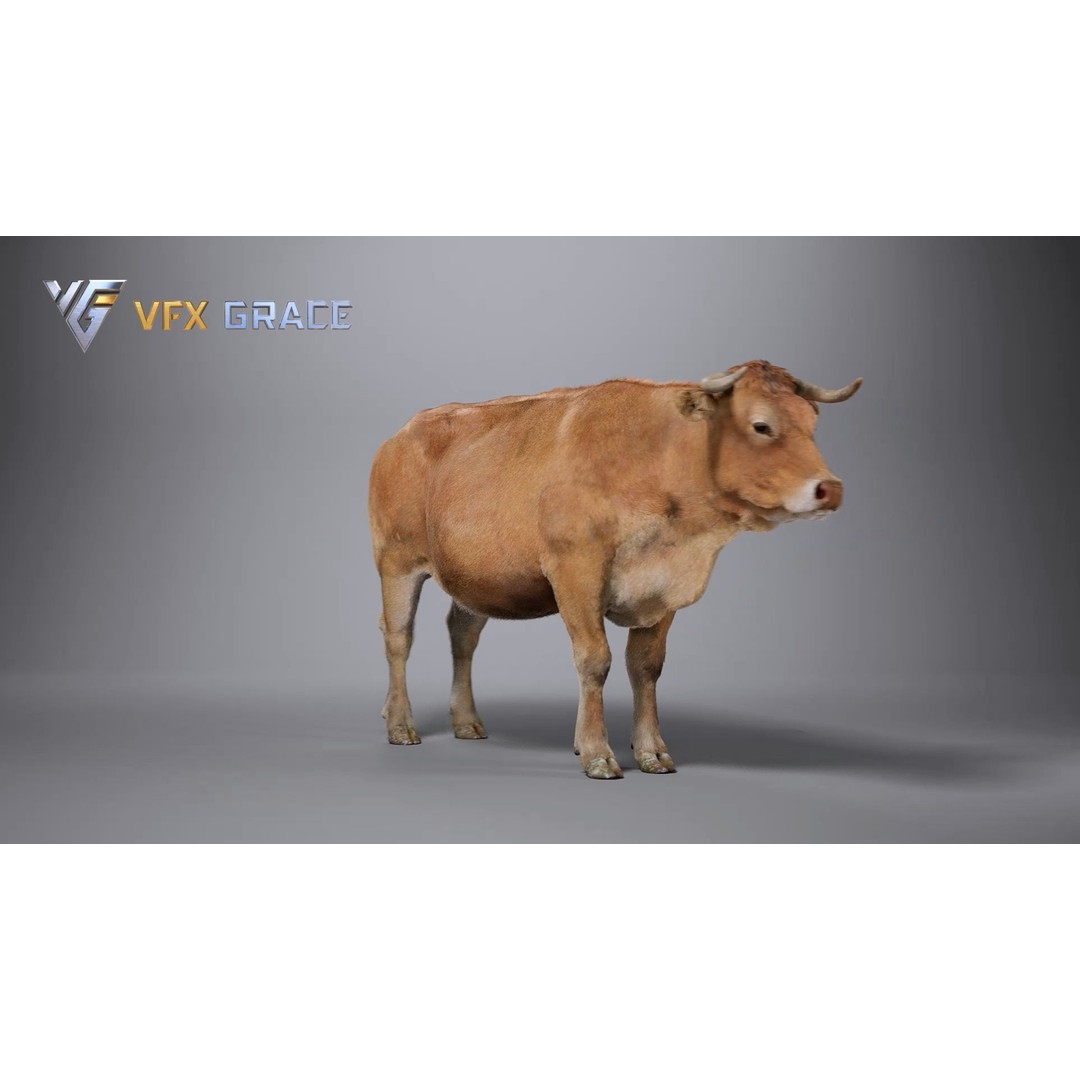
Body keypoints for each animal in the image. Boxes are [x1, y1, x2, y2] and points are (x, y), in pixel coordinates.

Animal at [368, 360, 862, 779]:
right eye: (762, 425)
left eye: (813, 425)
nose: (831, 489)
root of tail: (401, 434)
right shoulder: (575, 571)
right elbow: (595, 660)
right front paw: (596, 754)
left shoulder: (662, 588)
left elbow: (646, 668)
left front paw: (652, 751)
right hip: (396, 561)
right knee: (399, 638)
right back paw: (400, 724)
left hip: (474, 576)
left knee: (462, 635)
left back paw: (466, 721)